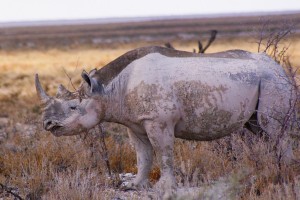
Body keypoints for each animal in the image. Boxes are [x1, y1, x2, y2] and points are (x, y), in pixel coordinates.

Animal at [35, 46, 296, 190]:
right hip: (264, 81)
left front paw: (165, 187)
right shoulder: (135, 122)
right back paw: (270, 171)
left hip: (272, 81)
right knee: (261, 130)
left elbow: (163, 152)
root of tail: (280, 67)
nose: (47, 124)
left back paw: (285, 176)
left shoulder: (157, 120)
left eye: (72, 107)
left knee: (274, 129)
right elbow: (142, 155)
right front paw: (135, 185)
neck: (105, 90)